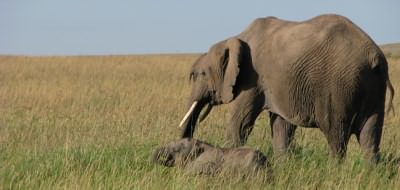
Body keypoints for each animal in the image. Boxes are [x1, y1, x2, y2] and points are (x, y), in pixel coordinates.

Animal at [180, 14, 396, 162]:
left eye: (201, 74)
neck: (235, 37)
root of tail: (375, 57)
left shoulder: (252, 79)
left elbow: (240, 122)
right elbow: (281, 125)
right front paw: (283, 164)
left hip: (340, 86)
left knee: (336, 134)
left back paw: (335, 169)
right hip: (372, 88)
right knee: (370, 136)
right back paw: (370, 171)